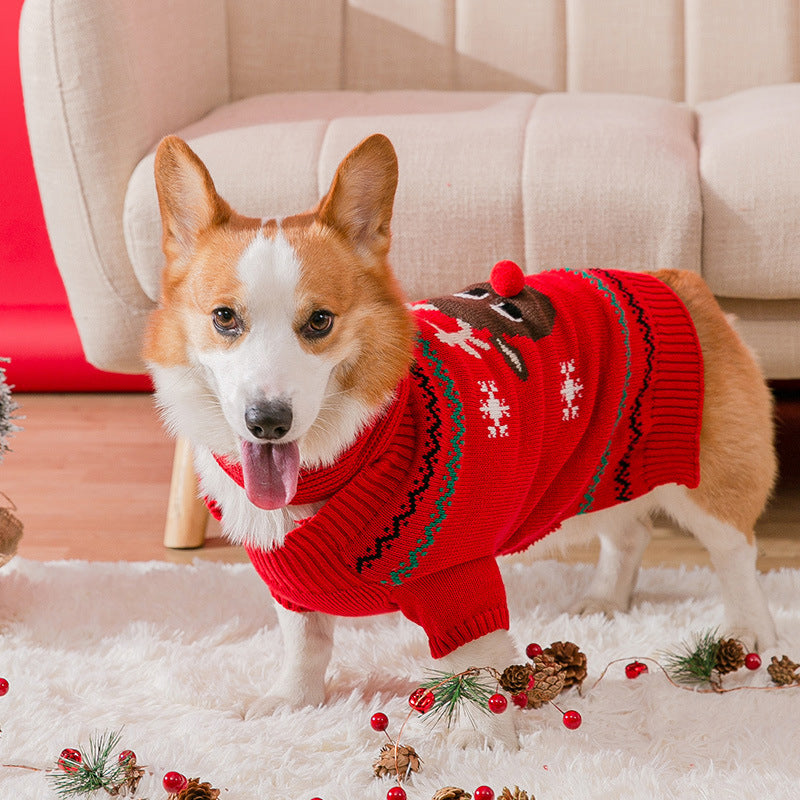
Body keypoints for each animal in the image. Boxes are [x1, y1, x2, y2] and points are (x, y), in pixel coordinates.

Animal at [144, 133, 776, 752]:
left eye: (320, 321)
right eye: (224, 318)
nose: (268, 422)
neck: (346, 454)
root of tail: (676, 279)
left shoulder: (461, 579)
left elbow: (476, 668)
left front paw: (487, 741)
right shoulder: (293, 592)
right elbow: (306, 644)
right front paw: (291, 703)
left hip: (706, 481)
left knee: (734, 551)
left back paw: (749, 633)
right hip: (594, 472)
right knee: (630, 531)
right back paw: (604, 601)